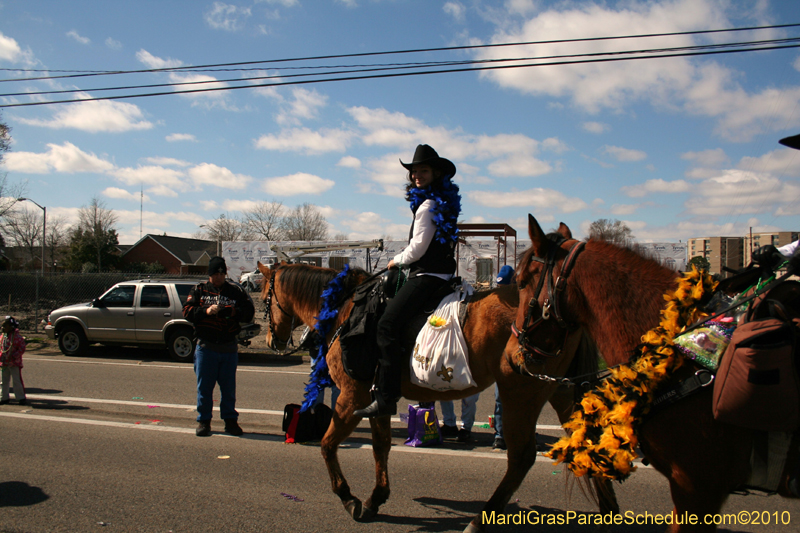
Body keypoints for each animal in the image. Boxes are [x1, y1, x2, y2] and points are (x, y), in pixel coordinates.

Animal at [260, 262, 616, 532]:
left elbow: (327, 445)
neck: (345, 309)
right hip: (560, 390)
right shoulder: (376, 400)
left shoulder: (351, 397)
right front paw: (376, 497)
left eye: (264, 297)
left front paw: (349, 498)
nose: (270, 341)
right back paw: (609, 510)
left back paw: (480, 520)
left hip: (521, 391)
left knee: (522, 457)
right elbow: (380, 447)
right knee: (588, 444)